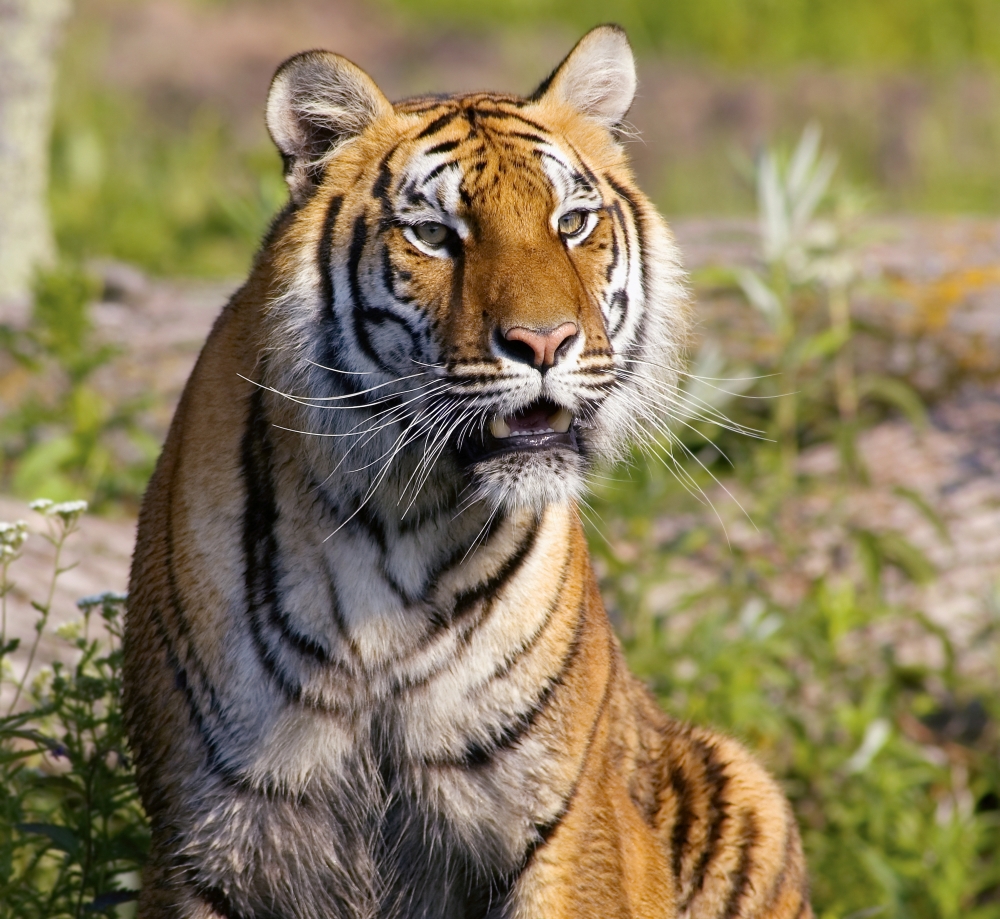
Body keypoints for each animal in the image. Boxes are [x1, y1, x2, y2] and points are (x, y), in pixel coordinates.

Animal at [123, 24, 813, 919]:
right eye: (435, 234)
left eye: (572, 222)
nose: (546, 342)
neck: (395, 524)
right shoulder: (201, 843)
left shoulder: (563, 823)